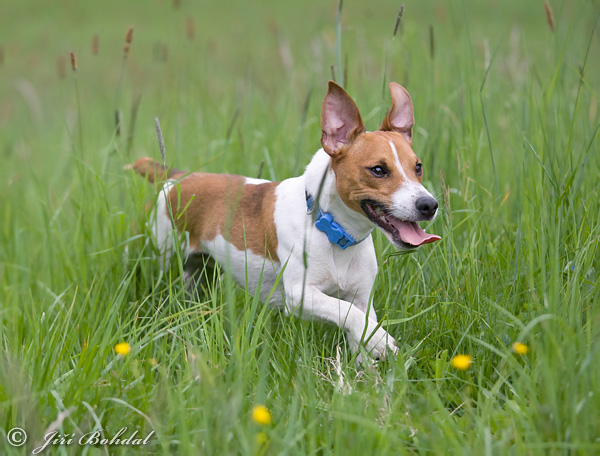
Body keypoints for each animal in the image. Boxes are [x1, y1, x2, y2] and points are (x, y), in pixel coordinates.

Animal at [130, 82, 440, 360]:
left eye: (418, 167)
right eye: (378, 170)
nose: (429, 205)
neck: (333, 232)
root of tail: (176, 177)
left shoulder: (362, 297)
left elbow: (360, 325)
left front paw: (372, 350)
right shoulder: (299, 296)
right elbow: (347, 312)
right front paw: (381, 341)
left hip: (199, 273)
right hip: (162, 259)